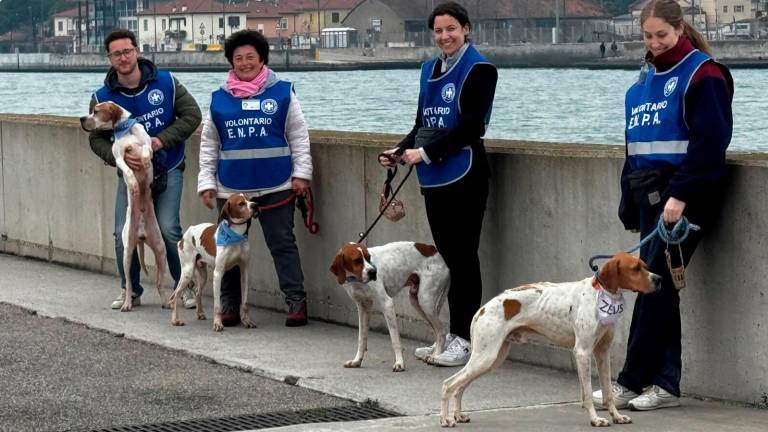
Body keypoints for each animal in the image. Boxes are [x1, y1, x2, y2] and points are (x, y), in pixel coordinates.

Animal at [79, 101, 166, 310]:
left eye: (96, 111)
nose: (81, 119)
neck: (125, 130)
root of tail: (141, 234)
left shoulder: (148, 144)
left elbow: (146, 150)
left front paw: (144, 161)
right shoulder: (119, 157)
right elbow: (127, 170)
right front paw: (133, 184)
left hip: (161, 251)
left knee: (159, 282)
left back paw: (166, 302)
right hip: (127, 254)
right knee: (129, 283)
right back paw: (126, 303)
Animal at [169, 194, 258, 332]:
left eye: (250, 199)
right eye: (241, 203)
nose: (255, 205)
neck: (235, 236)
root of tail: (185, 234)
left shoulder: (244, 272)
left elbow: (244, 303)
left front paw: (246, 321)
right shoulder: (218, 274)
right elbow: (217, 306)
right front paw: (217, 323)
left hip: (203, 275)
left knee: (198, 293)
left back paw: (200, 313)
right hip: (187, 272)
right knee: (174, 297)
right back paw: (175, 321)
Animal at [328, 243, 450, 372]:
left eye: (369, 257)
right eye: (357, 260)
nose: (373, 272)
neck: (357, 281)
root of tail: (432, 248)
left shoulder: (387, 305)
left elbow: (395, 340)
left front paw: (399, 363)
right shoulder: (363, 309)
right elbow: (362, 339)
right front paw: (357, 361)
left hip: (426, 302)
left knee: (441, 331)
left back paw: (436, 357)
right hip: (418, 303)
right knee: (438, 332)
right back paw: (435, 354)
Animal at [438, 251, 660, 426]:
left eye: (646, 267)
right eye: (635, 269)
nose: (659, 279)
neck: (601, 294)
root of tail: (481, 310)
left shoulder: (602, 353)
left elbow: (608, 393)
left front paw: (616, 416)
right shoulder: (583, 352)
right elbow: (588, 394)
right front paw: (595, 419)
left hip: (491, 359)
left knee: (460, 387)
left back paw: (458, 415)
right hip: (485, 357)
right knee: (449, 385)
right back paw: (446, 419)